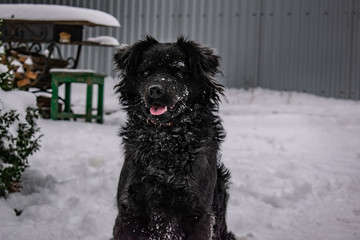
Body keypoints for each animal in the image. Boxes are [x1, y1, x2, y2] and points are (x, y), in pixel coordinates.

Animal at [114, 36, 235, 240]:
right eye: (145, 72)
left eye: (179, 72)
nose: (155, 90)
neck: (165, 141)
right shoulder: (128, 210)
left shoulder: (198, 213)